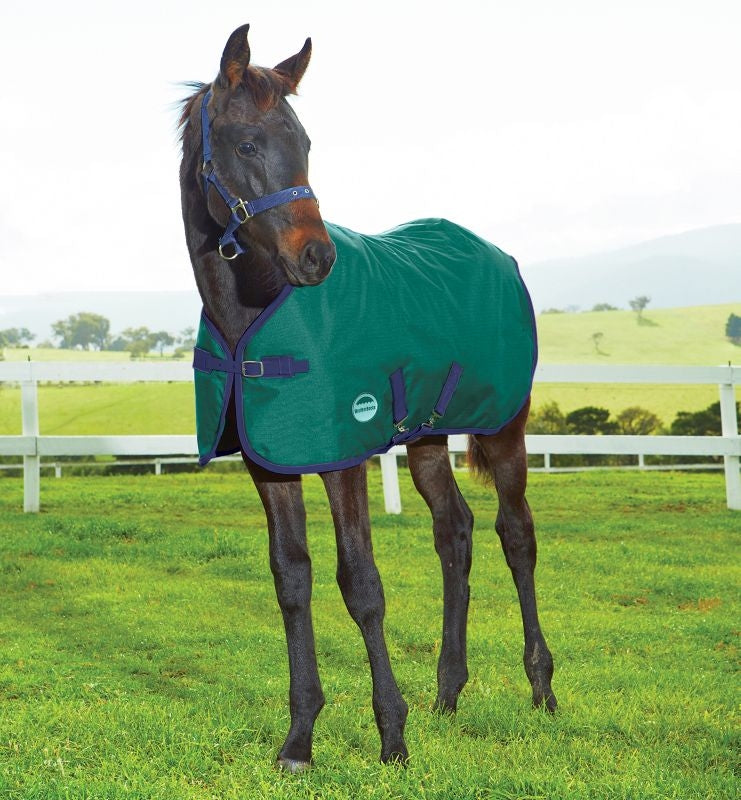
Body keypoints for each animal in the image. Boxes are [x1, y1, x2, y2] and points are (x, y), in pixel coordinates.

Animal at [177, 24, 556, 770]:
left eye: (305, 141)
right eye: (246, 144)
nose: (316, 258)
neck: (254, 314)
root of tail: (497, 255)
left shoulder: (342, 456)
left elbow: (361, 584)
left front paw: (391, 735)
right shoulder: (271, 464)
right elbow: (291, 581)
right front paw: (299, 739)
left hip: (504, 428)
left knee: (515, 533)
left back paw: (541, 688)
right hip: (429, 436)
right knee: (454, 532)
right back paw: (448, 693)